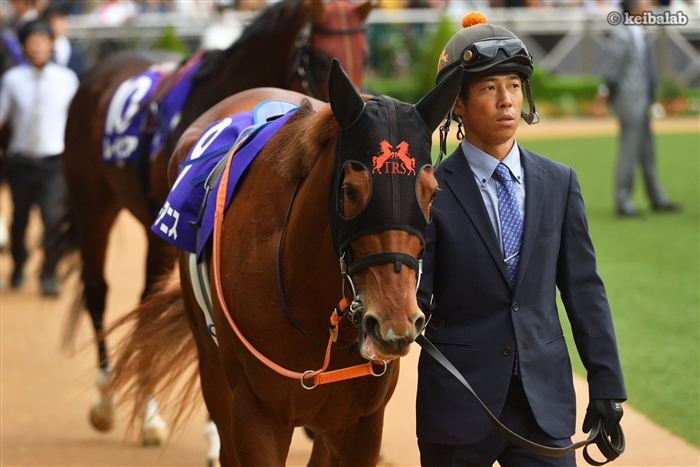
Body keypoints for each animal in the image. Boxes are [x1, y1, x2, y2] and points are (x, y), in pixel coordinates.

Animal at [61, 0, 371, 445]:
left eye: (364, 52)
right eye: (315, 57)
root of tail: (99, 70)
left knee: (143, 301)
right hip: (94, 206)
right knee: (98, 290)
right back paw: (108, 401)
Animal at [108, 60, 463, 465]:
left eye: (431, 194)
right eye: (350, 191)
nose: (394, 323)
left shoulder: (362, 424)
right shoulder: (256, 415)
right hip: (212, 367)